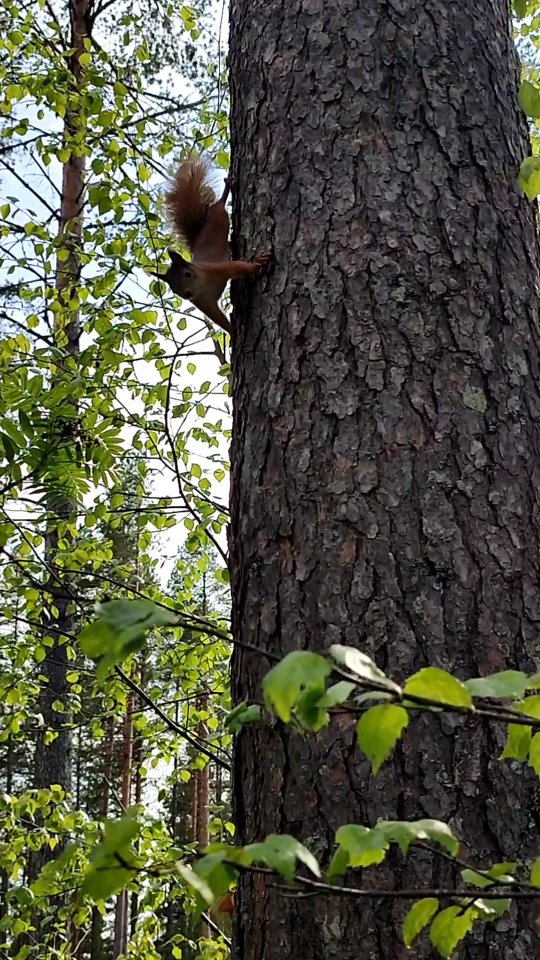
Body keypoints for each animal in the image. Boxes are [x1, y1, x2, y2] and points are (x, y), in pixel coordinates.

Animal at [150, 158, 270, 335]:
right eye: (172, 287)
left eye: (187, 274)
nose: (187, 294)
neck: (202, 285)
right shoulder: (203, 302)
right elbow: (217, 317)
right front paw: (233, 333)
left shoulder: (215, 269)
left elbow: (239, 267)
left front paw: (257, 263)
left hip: (219, 216)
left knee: (219, 205)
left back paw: (227, 188)